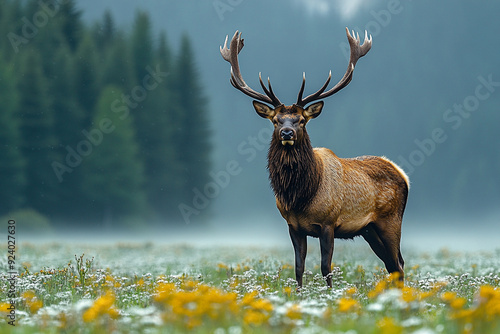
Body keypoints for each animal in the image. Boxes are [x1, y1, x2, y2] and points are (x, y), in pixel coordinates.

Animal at [221, 28, 408, 288]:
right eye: (276, 120)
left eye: (301, 120)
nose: (286, 133)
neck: (301, 196)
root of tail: (401, 173)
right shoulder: (293, 226)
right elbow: (298, 267)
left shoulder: (329, 223)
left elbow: (325, 268)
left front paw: (329, 294)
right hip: (369, 230)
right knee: (393, 265)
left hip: (391, 221)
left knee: (398, 263)